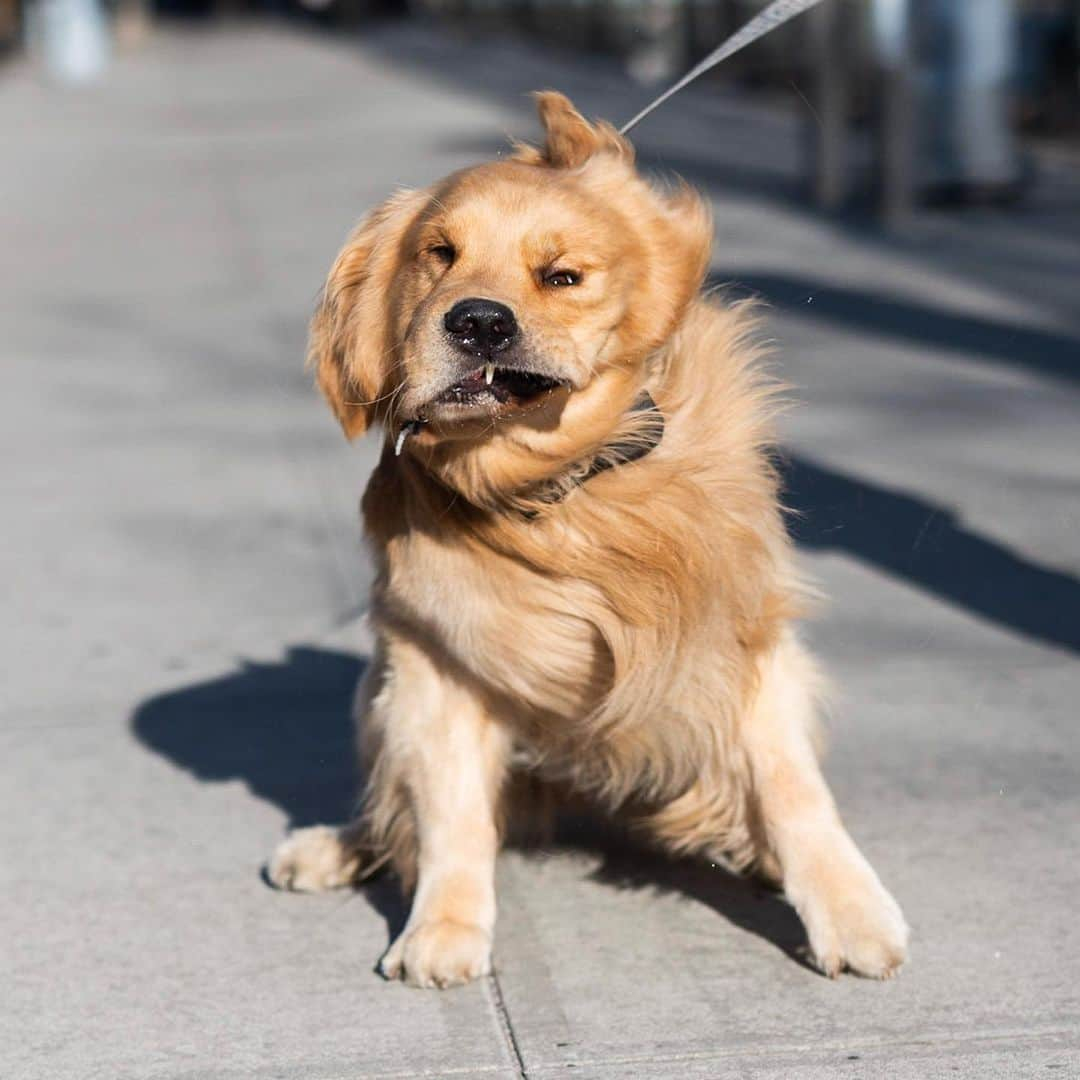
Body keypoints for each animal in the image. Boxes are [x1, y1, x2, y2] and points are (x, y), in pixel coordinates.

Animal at [265, 90, 907, 989]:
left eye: (562, 276)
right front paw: (444, 928)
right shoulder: (436, 664)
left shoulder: (742, 639)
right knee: (395, 809)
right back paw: (334, 848)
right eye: (439, 255)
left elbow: (793, 791)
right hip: (379, 686)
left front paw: (851, 913)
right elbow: (449, 816)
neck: (567, 491)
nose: (478, 322)